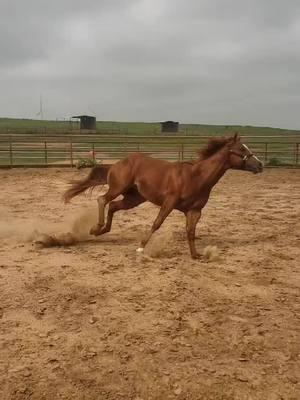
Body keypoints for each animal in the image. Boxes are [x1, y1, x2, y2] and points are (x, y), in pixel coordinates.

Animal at [63, 134, 262, 260]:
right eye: (241, 149)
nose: (260, 165)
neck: (196, 177)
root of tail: (116, 163)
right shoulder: (169, 202)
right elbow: (157, 223)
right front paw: (141, 247)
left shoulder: (194, 211)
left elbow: (190, 232)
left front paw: (195, 255)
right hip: (118, 188)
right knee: (103, 200)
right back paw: (96, 228)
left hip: (134, 198)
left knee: (113, 206)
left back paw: (101, 231)